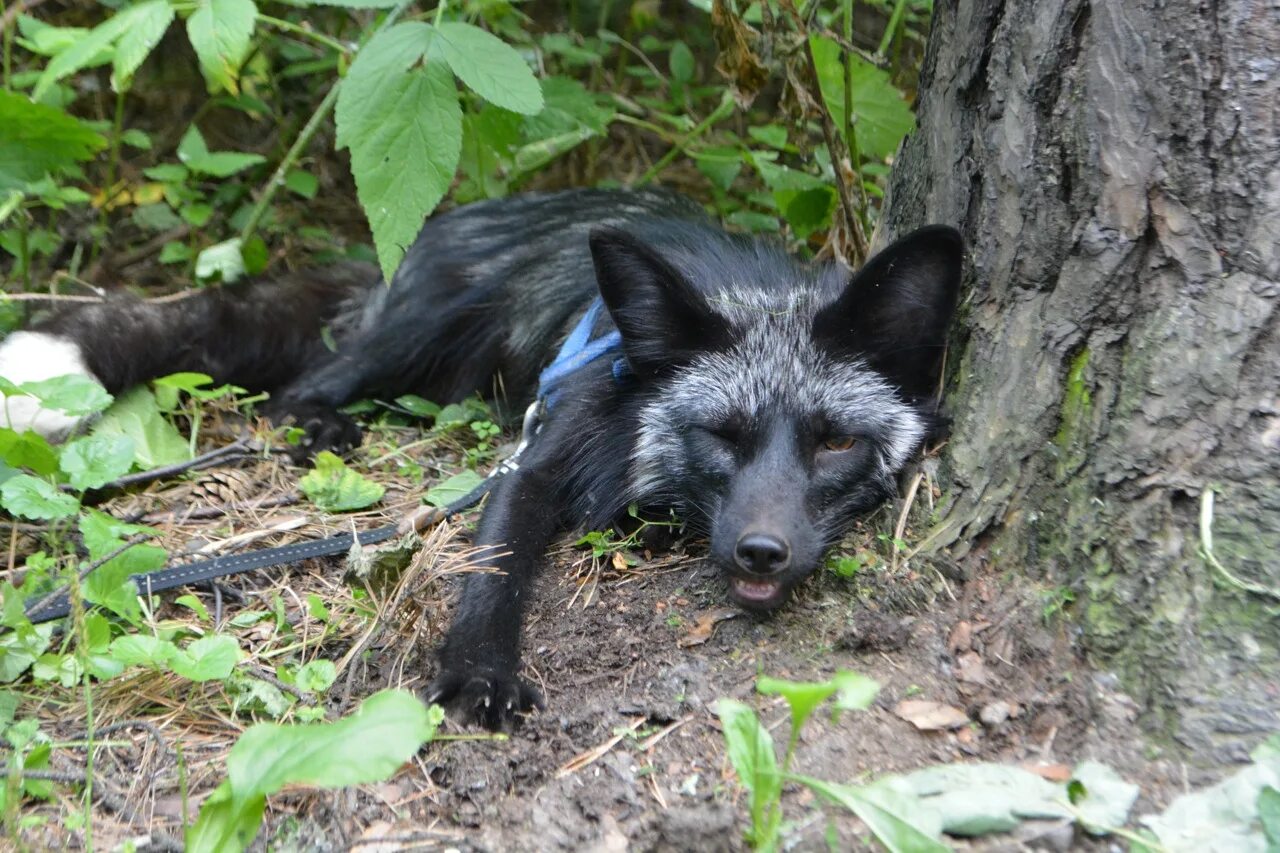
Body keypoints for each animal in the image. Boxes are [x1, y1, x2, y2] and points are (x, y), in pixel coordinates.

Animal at [0, 189, 962, 727]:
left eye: (836, 441)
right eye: (722, 434)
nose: (761, 552)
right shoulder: (534, 461)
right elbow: (493, 568)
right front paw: (479, 671)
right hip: (423, 331)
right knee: (309, 379)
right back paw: (320, 424)